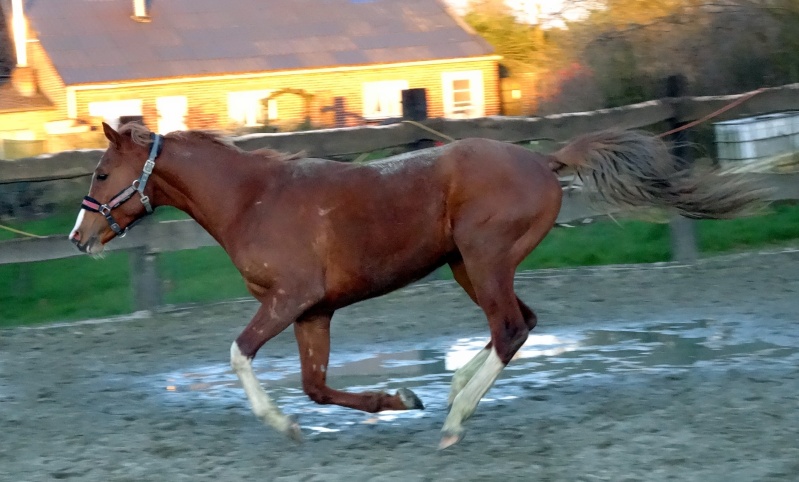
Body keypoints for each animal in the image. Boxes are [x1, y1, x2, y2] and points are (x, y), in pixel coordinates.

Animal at [70, 121, 764, 448]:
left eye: (102, 174)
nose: (78, 237)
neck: (254, 200)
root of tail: (544, 161)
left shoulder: (288, 300)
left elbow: (241, 356)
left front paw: (285, 427)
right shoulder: (313, 311)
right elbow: (316, 387)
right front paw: (400, 399)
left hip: (485, 261)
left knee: (509, 329)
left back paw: (455, 419)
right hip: (468, 266)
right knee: (521, 325)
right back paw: (453, 392)